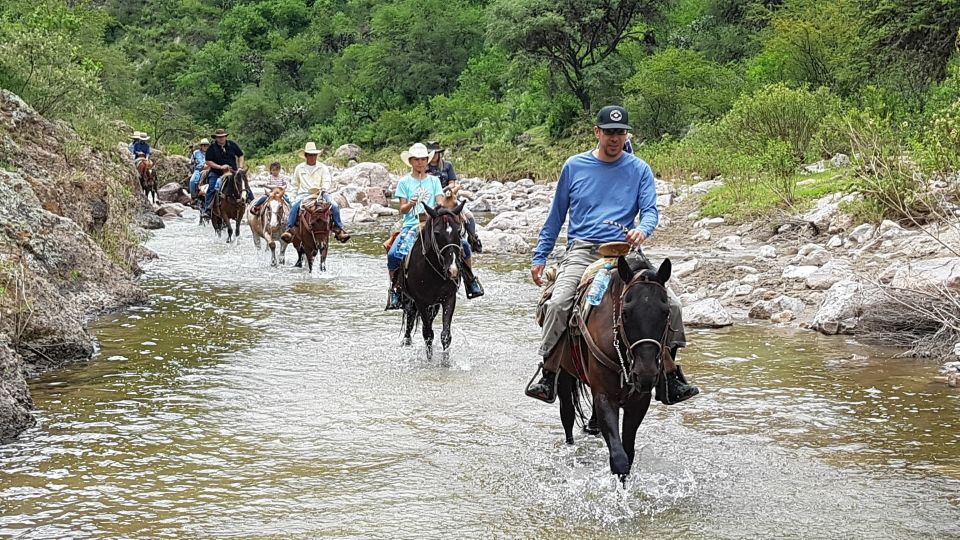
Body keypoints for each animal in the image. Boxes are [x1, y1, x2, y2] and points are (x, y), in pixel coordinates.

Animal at [400, 201, 466, 362]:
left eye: (459, 231)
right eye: (436, 233)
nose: (453, 270)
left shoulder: (449, 298)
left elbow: (445, 335)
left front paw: (445, 361)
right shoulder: (420, 301)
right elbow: (428, 333)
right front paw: (429, 360)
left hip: (434, 305)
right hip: (410, 299)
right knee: (411, 316)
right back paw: (407, 341)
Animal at [544, 253, 672, 486]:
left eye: (666, 312)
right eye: (626, 313)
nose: (645, 374)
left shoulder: (639, 400)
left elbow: (628, 452)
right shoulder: (605, 396)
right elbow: (619, 458)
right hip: (564, 373)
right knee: (567, 415)